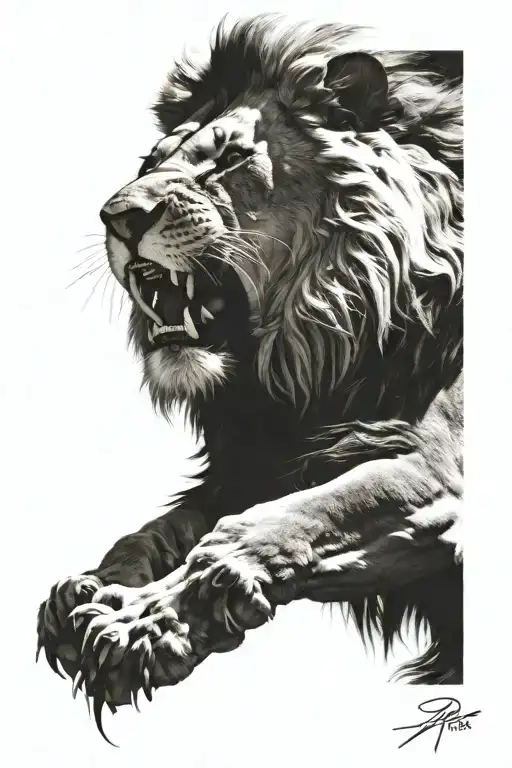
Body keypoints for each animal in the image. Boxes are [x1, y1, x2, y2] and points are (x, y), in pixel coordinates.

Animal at [37, 14, 463, 741]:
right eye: (150, 164)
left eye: (233, 158)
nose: (117, 217)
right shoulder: (257, 462)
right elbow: (160, 528)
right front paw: (94, 587)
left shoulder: (441, 469)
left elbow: (271, 522)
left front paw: (145, 623)